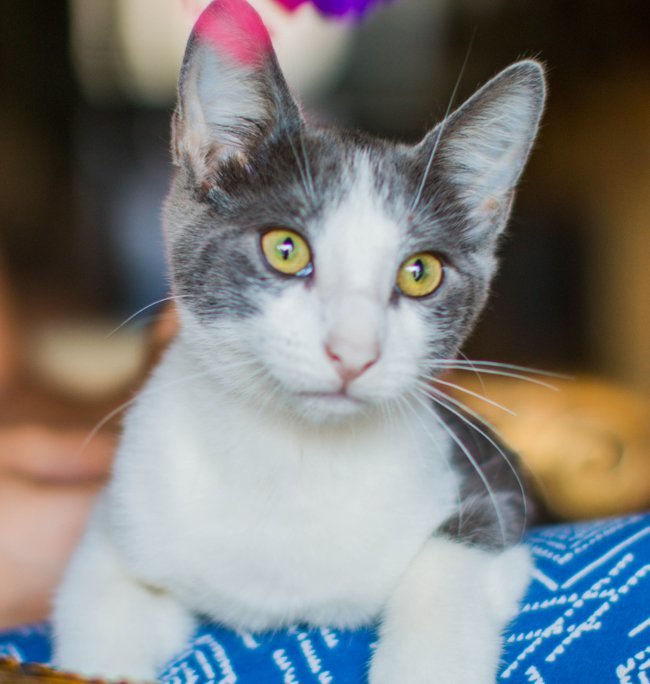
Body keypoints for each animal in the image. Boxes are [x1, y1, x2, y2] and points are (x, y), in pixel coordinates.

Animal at [53, 2, 544, 680]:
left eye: (420, 272)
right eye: (285, 249)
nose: (354, 353)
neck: (292, 458)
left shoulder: (493, 481)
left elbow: (456, 562)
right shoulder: (116, 527)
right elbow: (98, 620)